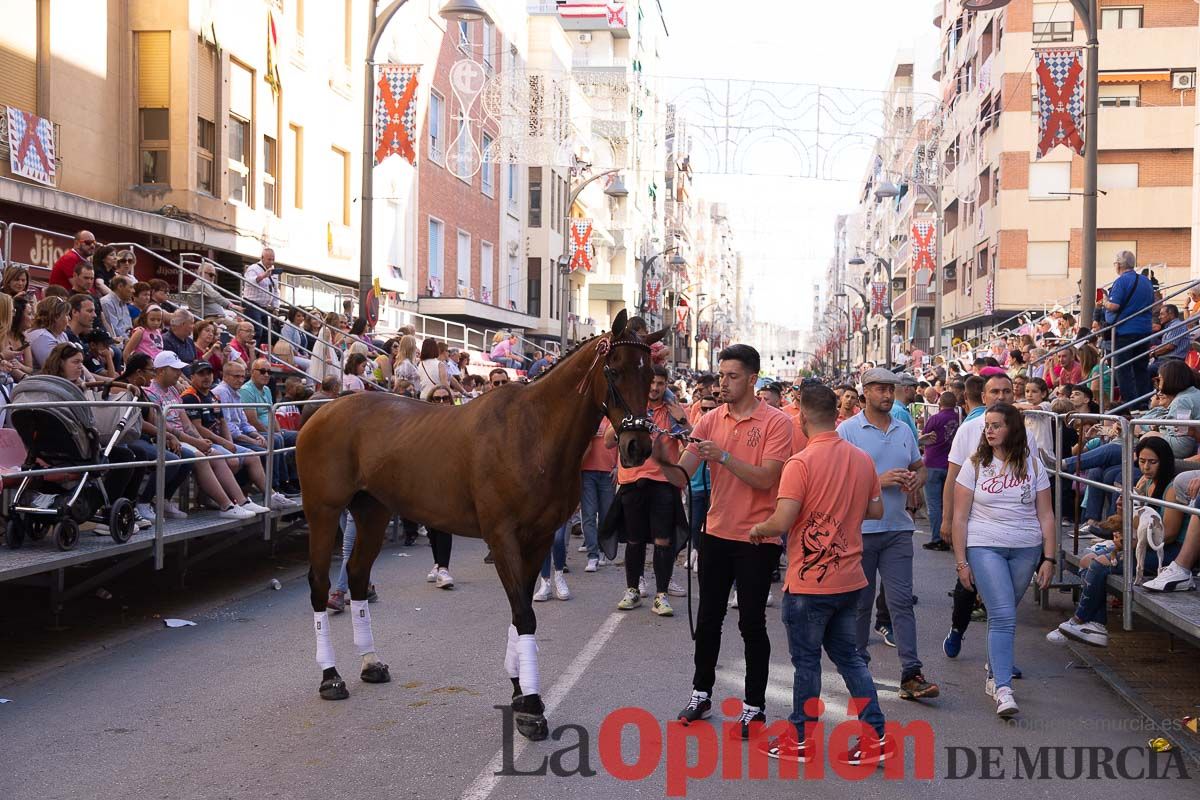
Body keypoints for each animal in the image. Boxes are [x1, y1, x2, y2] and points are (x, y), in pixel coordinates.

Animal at [295, 309, 662, 743]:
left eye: (651, 373)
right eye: (615, 370)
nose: (638, 446)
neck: (532, 432)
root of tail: (323, 409)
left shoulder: (537, 538)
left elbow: (521, 611)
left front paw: (520, 691)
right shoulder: (502, 537)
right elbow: (524, 613)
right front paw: (532, 707)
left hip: (373, 511)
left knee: (355, 575)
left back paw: (370, 662)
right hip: (323, 511)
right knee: (320, 584)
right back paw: (330, 676)